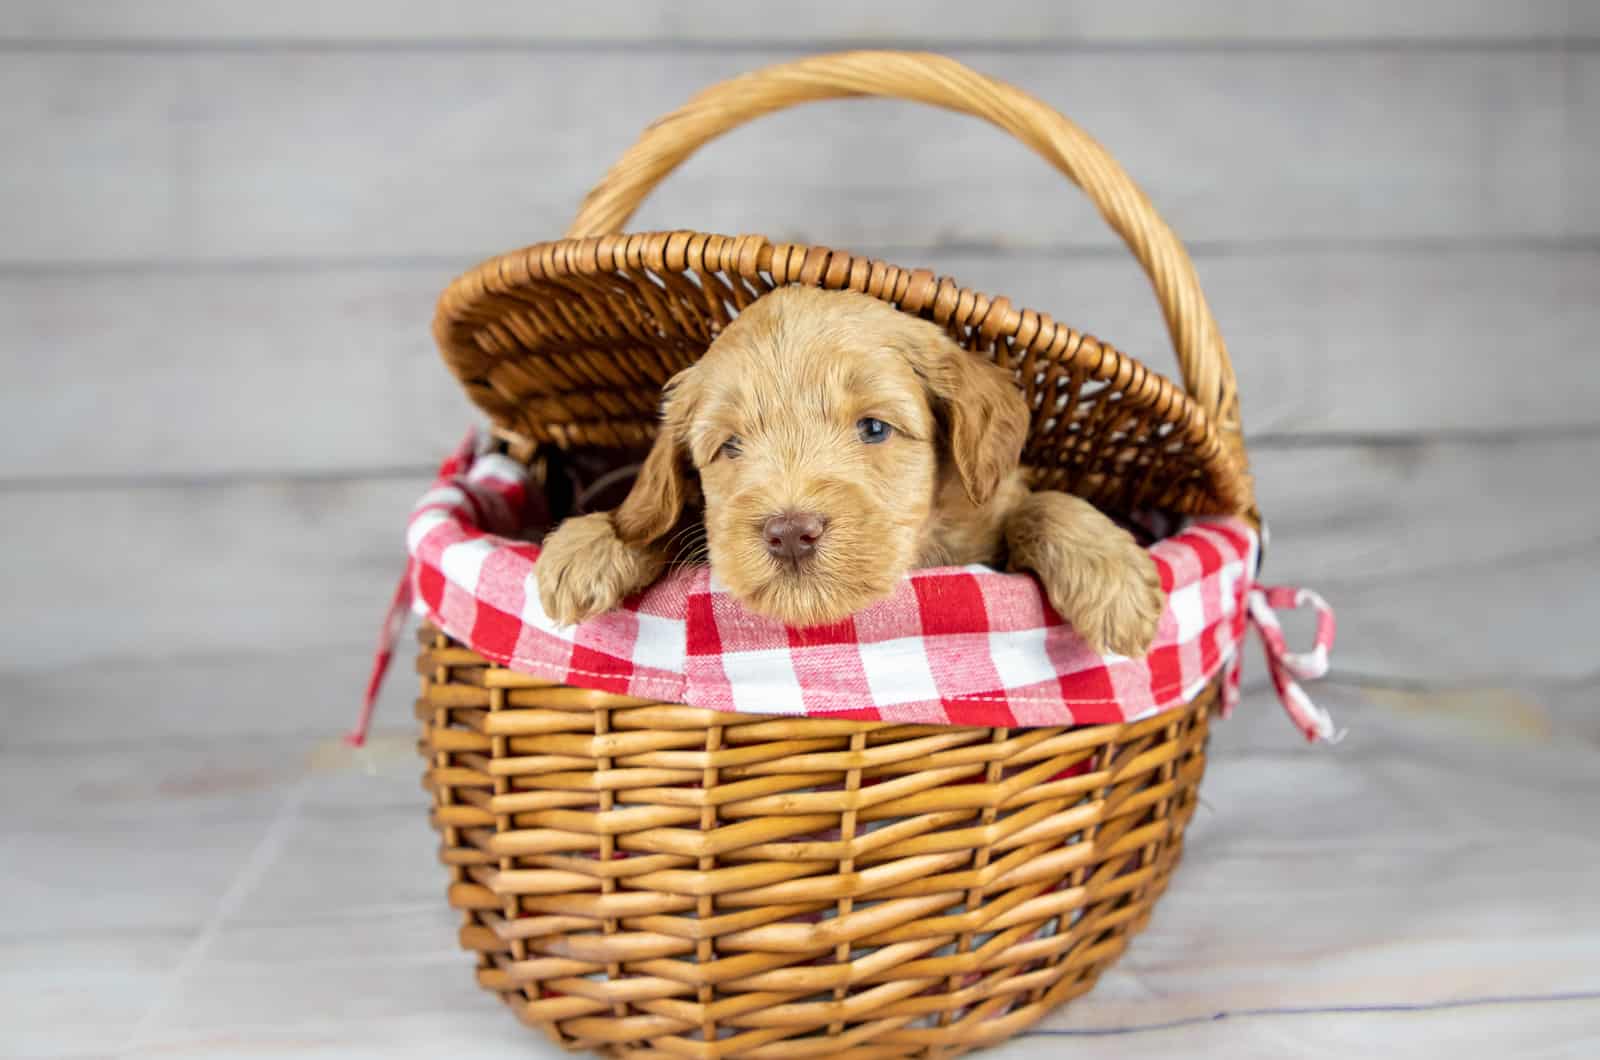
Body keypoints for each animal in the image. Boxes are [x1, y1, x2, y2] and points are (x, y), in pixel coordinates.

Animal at [531, 286, 1171, 659]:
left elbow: (1042, 502)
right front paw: (593, 542)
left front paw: (1111, 576)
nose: (790, 532)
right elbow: (665, 521)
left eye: (874, 429)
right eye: (730, 445)